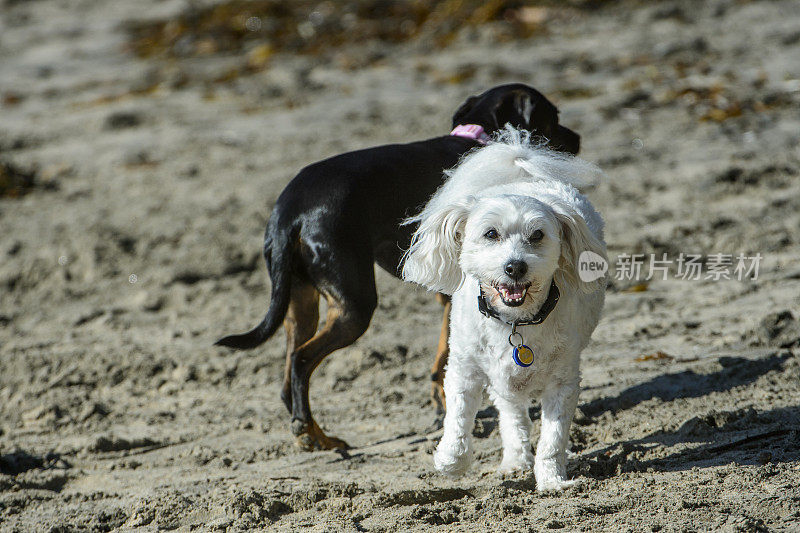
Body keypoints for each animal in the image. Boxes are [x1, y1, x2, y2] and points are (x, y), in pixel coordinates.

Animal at [216, 83, 580, 448]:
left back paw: (309, 429)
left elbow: (443, 353)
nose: (577, 138)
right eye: (554, 118)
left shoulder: (450, 293)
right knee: (302, 361)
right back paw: (313, 434)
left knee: (288, 371)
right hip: (355, 306)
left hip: (300, 300)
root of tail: (289, 210)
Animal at [406, 125, 608, 490]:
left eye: (538, 235)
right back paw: (514, 460)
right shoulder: (464, 369)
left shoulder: (563, 382)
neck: (515, 322)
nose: (515, 267)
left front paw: (552, 480)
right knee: (511, 410)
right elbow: (458, 419)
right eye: (491, 234)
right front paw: (450, 461)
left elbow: (553, 438)